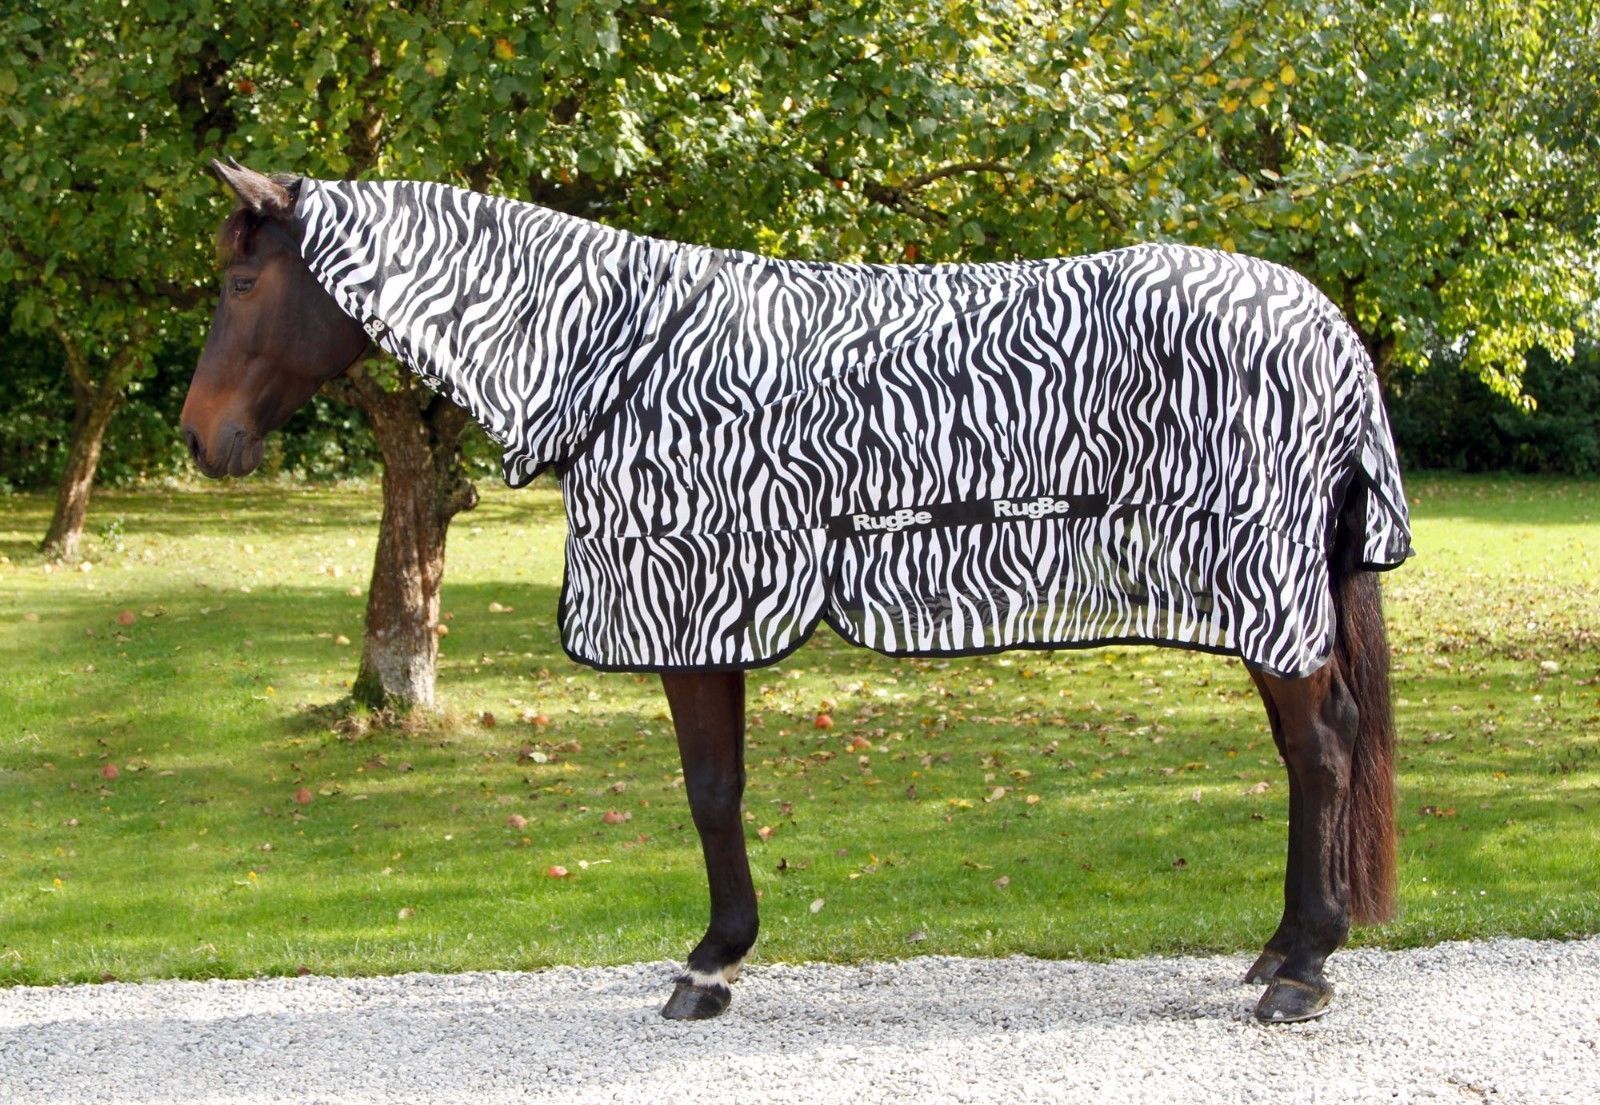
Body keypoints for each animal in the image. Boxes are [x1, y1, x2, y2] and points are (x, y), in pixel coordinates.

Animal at [181, 159, 1408, 1024]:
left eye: (243, 282)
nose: (201, 439)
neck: (613, 355)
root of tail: (1326, 326)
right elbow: (719, 788)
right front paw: (720, 954)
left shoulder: (694, 607)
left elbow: (710, 789)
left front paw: (710, 964)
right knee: (1312, 749)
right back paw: (1280, 946)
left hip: (1267, 600)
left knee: (1321, 749)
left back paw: (1303, 969)